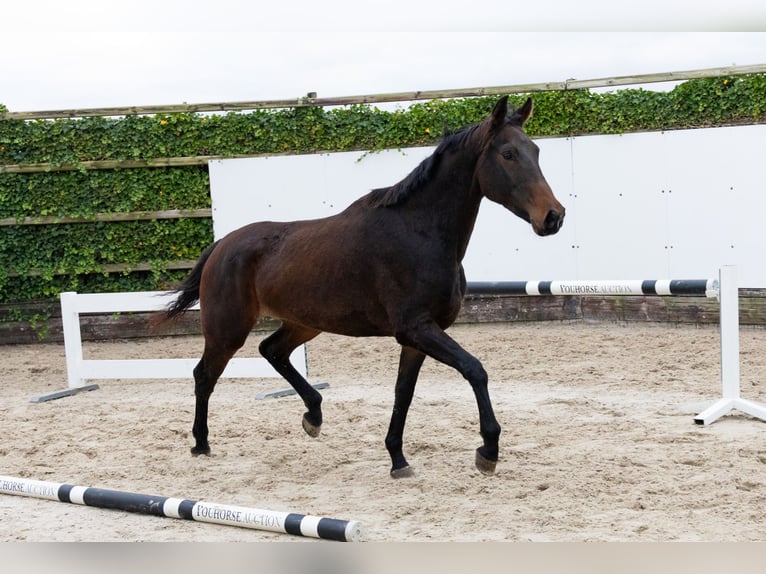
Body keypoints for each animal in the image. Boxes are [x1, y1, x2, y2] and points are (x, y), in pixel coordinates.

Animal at [153, 96, 565, 478]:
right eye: (508, 153)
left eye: (536, 151)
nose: (553, 217)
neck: (420, 233)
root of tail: (222, 245)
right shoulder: (417, 328)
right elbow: (475, 370)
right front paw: (488, 451)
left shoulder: (416, 337)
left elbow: (404, 393)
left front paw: (398, 458)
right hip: (227, 329)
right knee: (204, 375)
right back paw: (201, 443)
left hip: (305, 323)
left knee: (271, 350)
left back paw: (313, 415)